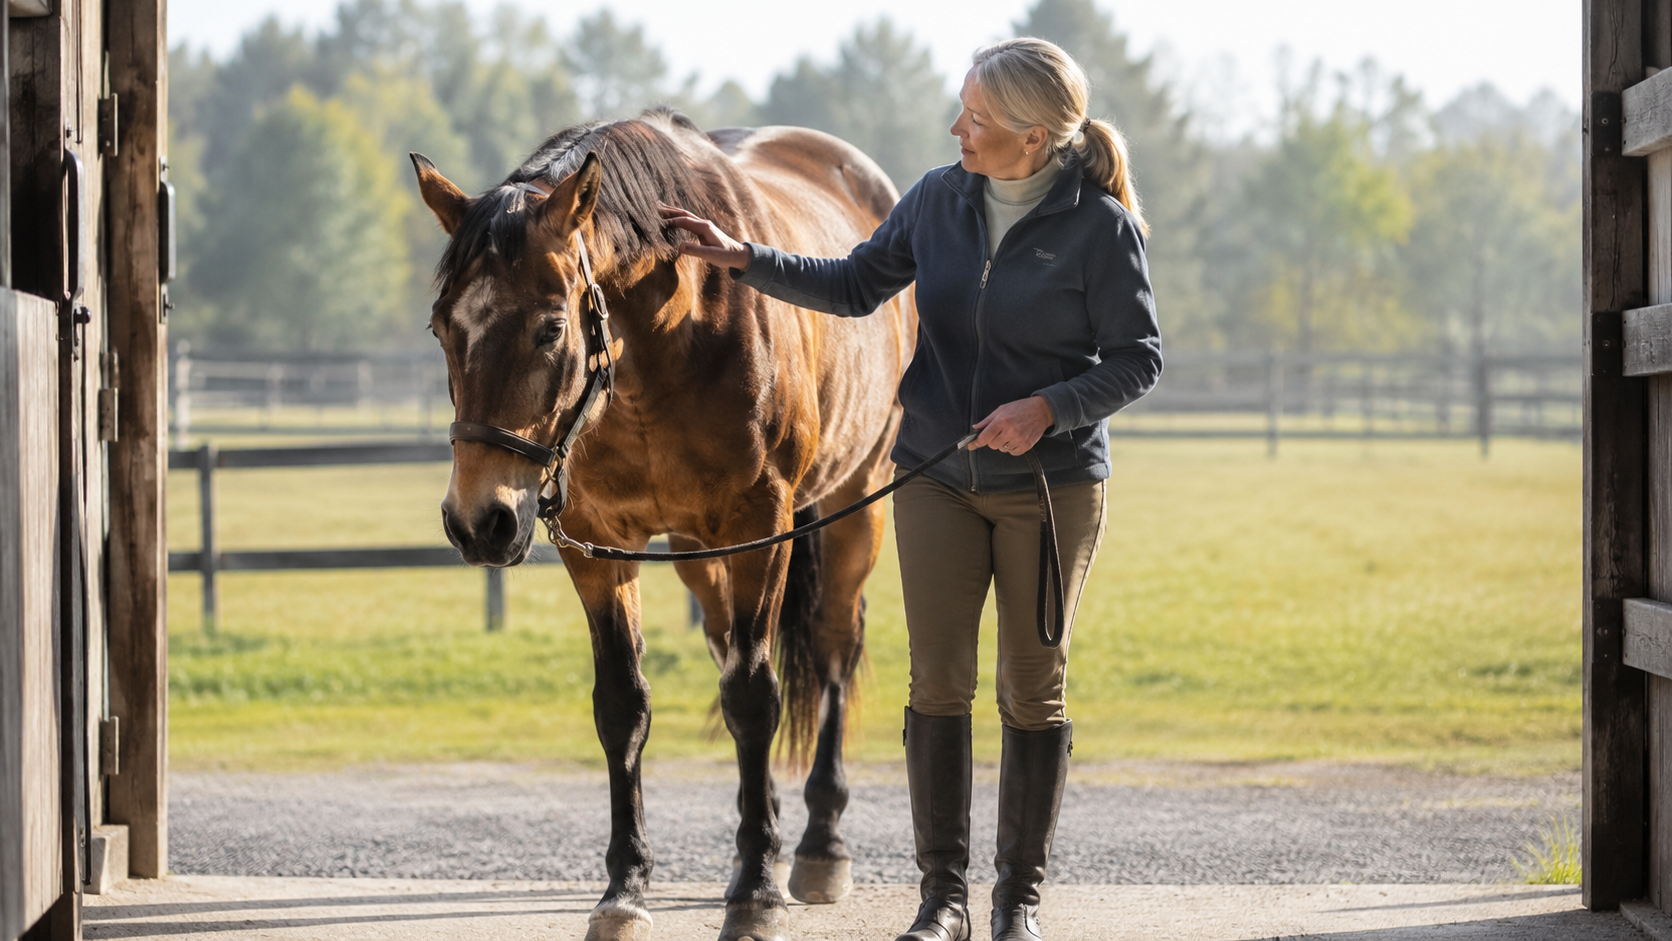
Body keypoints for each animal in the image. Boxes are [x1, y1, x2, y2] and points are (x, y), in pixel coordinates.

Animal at [409, 109, 915, 941]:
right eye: (443, 327)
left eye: (550, 329)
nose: (480, 520)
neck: (666, 336)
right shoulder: (600, 540)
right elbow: (624, 704)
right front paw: (626, 886)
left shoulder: (760, 521)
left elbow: (755, 694)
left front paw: (753, 888)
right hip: (697, 550)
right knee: (726, 644)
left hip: (856, 504)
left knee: (831, 648)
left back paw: (816, 845)